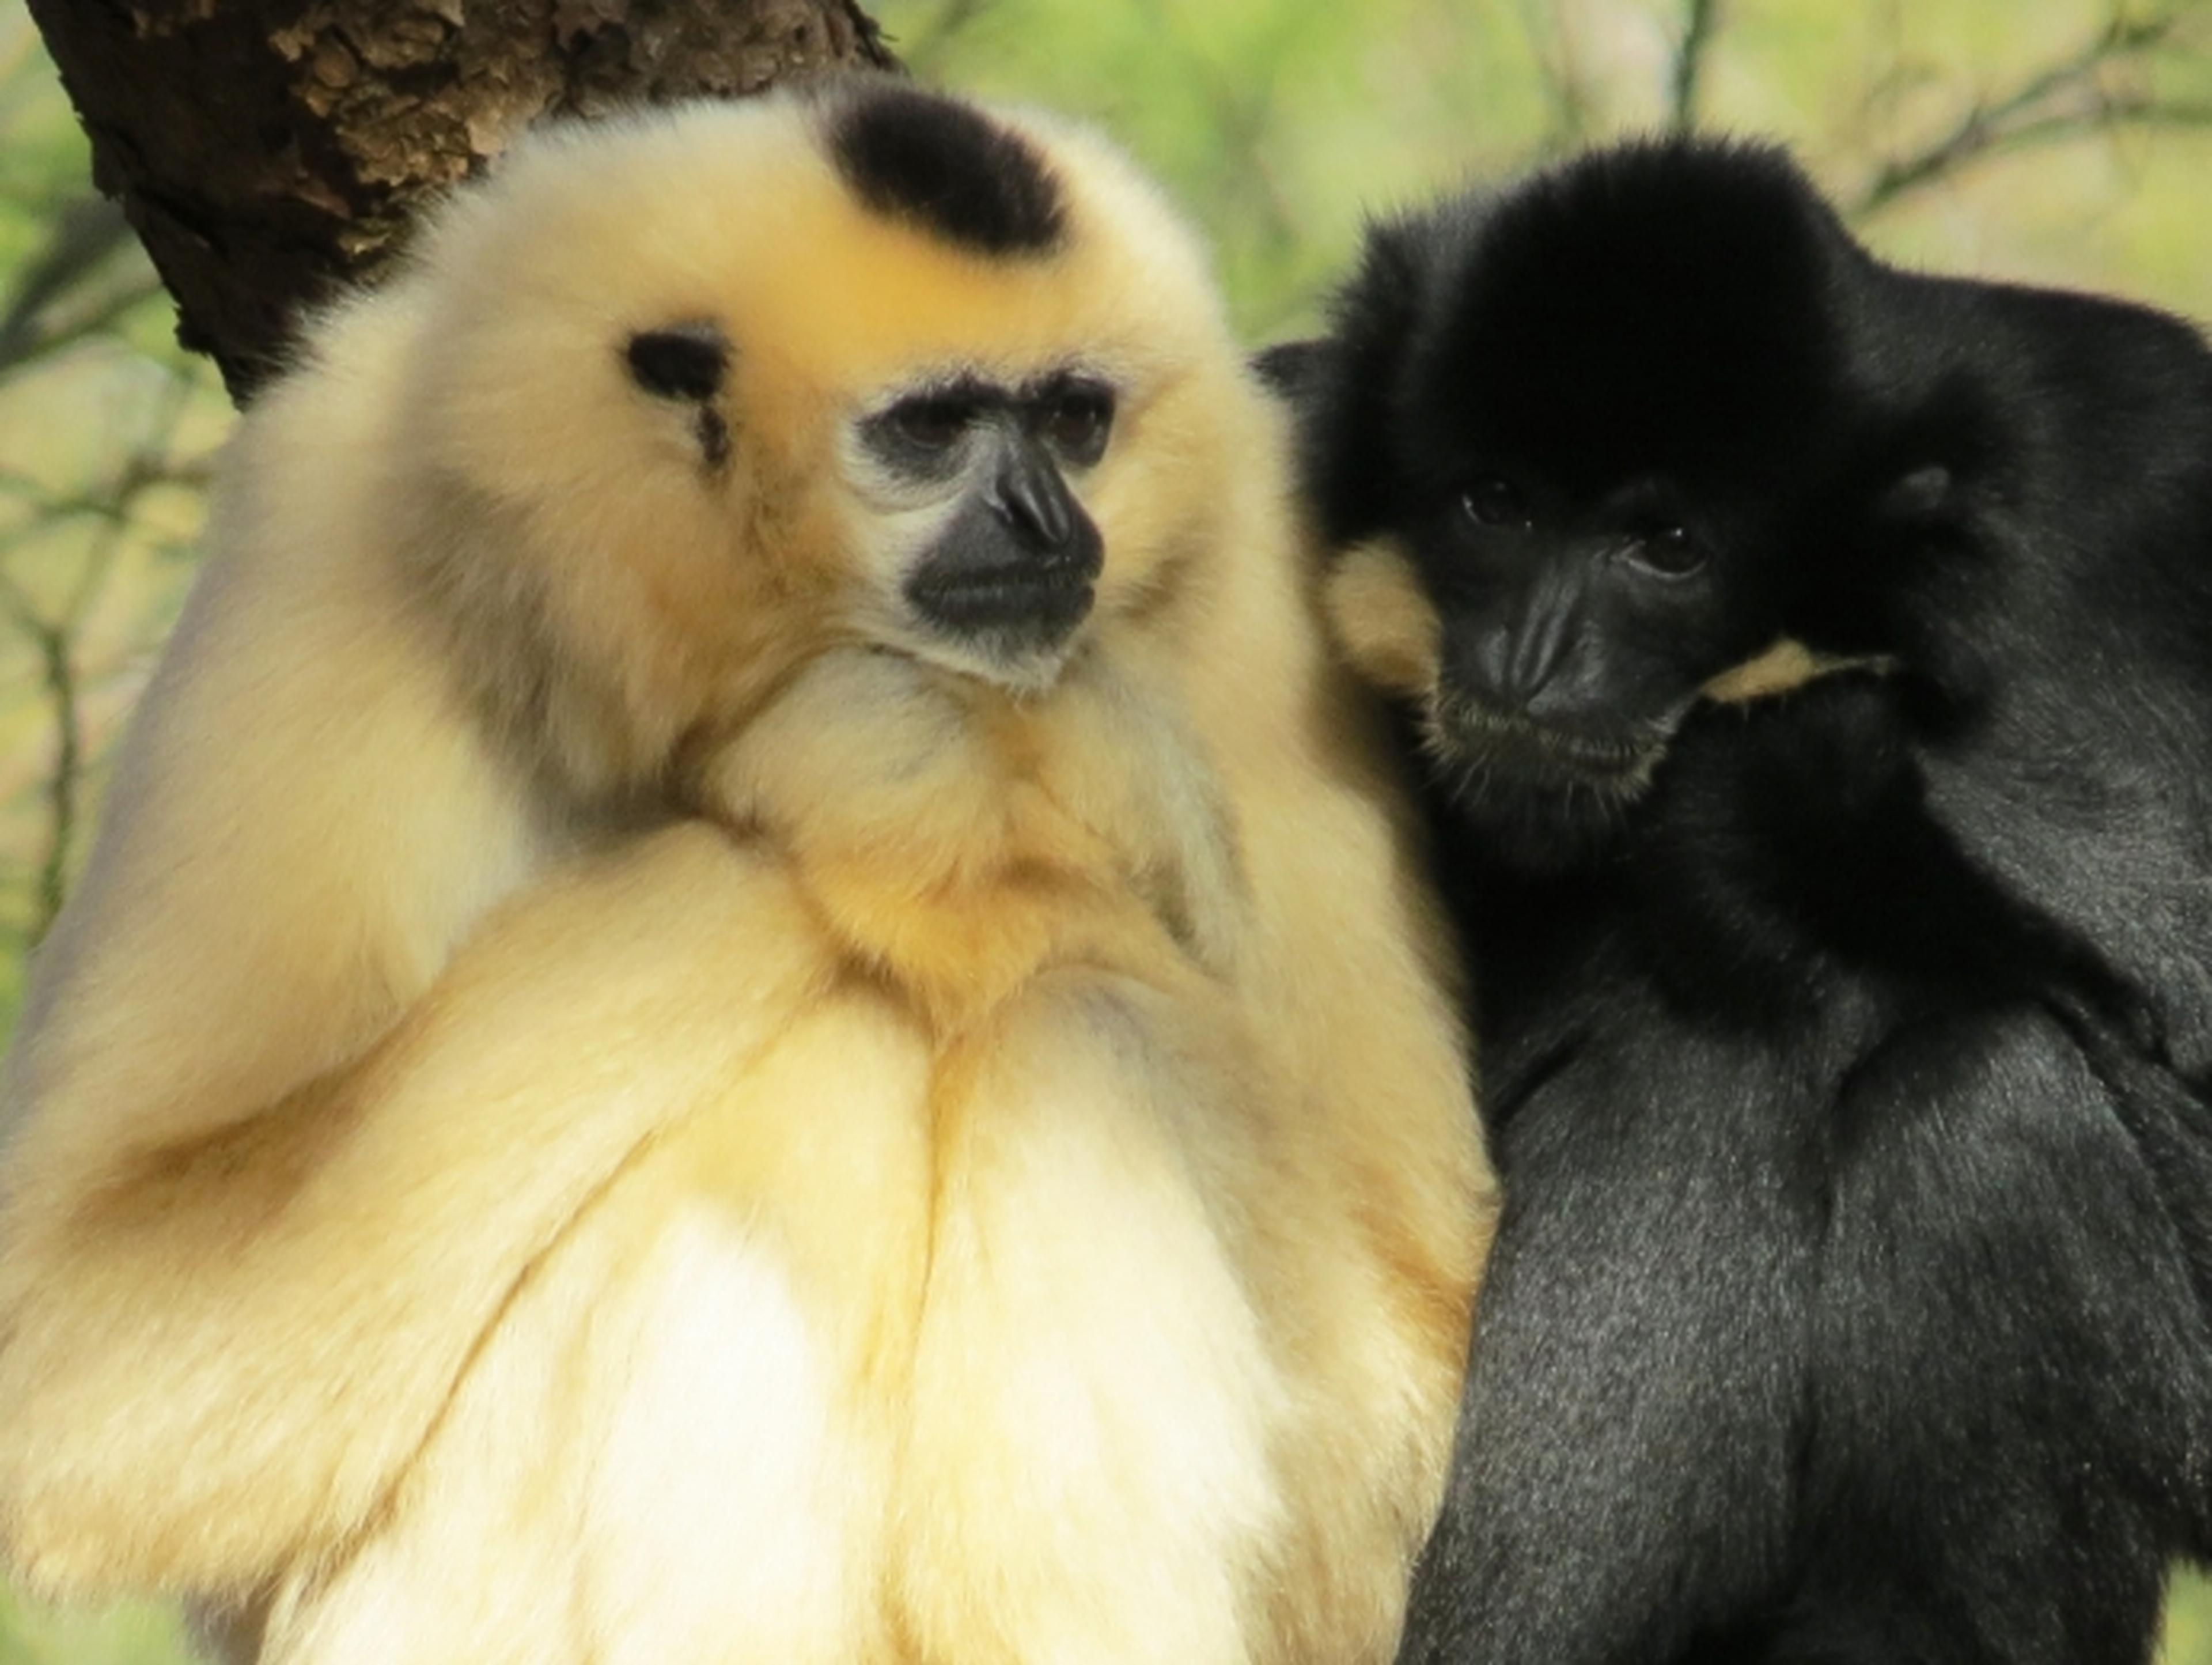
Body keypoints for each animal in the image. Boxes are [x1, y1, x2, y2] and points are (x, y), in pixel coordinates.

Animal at [0, 81, 1494, 1665]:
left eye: (1075, 419)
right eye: (932, 427)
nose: (1051, 524)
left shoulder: (1256, 559)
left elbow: (1421, 1298)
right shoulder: (338, 532)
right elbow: (84, 1347)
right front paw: (894, 759)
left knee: (1080, 1029)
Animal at [1272, 136, 2212, 1665]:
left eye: (1665, 546)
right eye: (1495, 505)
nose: (1534, 659)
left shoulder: (2139, 487)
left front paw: (1772, 805)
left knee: (1977, 1095)